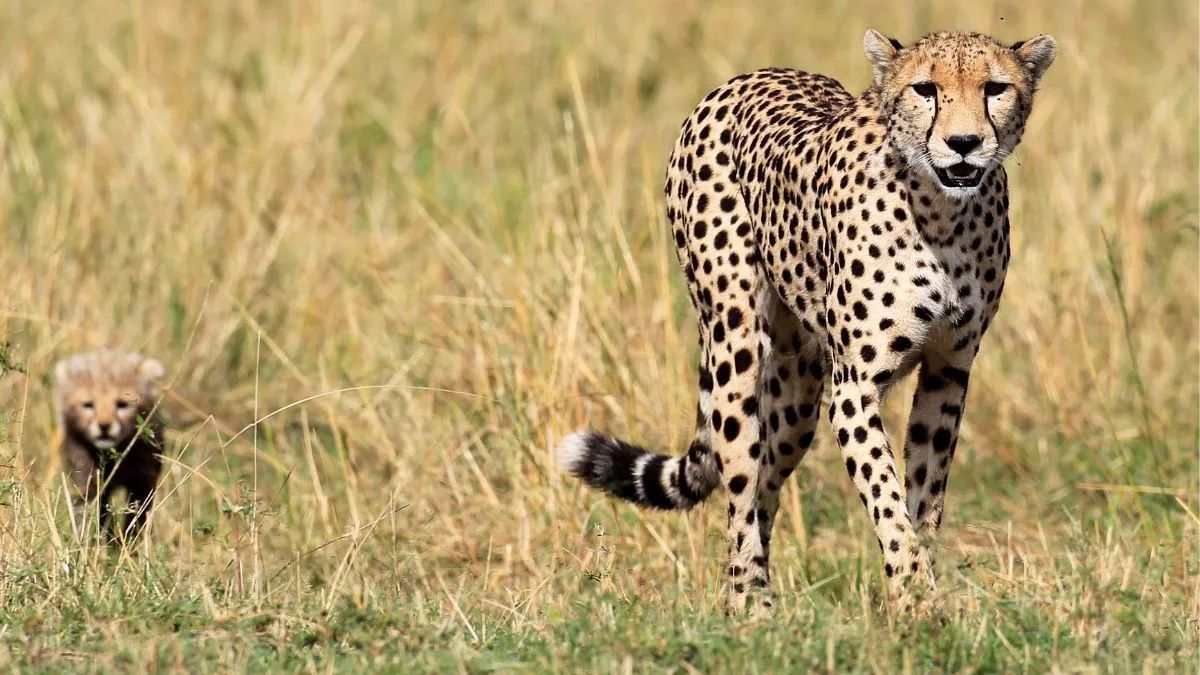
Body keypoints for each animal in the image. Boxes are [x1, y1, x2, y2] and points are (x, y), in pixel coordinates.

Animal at [55, 349, 167, 542]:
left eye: (122, 404)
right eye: (88, 404)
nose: (104, 426)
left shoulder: (143, 481)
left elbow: (136, 516)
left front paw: (130, 542)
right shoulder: (87, 480)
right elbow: (85, 513)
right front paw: (85, 542)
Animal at [558, 29, 1056, 617]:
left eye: (995, 89)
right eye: (926, 89)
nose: (963, 143)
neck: (942, 212)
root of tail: (745, 78)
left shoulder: (948, 372)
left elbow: (923, 501)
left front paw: (925, 596)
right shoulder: (855, 387)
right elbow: (888, 501)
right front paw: (914, 598)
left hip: (798, 393)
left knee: (766, 482)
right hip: (735, 346)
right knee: (740, 485)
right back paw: (750, 609)